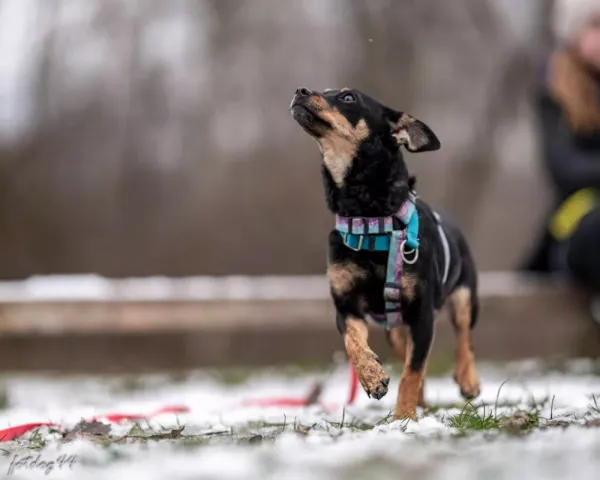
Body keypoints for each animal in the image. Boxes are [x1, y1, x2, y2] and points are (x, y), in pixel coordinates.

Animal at [288, 86, 480, 420]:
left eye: (348, 97)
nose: (300, 90)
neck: (369, 219)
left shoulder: (422, 315)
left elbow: (412, 372)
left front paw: (403, 418)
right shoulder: (346, 306)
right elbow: (353, 342)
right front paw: (372, 376)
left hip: (464, 295)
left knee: (463, 338)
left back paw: (468, 379)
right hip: (396, 330)